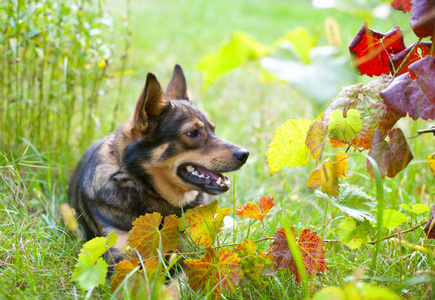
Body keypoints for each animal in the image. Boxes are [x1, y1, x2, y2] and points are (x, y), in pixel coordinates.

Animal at [68, 64, 249, 266]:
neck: (144, 188)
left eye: (213, 129)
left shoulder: (187, 252)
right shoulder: (118, 257)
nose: (244, 154)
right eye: (193, 132)